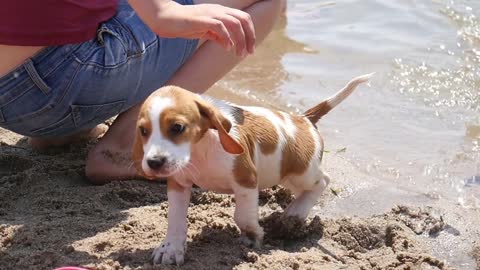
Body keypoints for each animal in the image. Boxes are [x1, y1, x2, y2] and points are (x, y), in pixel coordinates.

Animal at [133, 73, 374, 264]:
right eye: (143, 131)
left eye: (177, 127)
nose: (154, 163)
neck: (200, 152)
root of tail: (304, 119)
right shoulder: (178, 185)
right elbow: (175, 220)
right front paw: (171, 249)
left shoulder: (246, 181)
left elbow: (242, 216)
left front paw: (253, 236)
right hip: (288, 177)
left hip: (301, 173)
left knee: (323, 181)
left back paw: (295, 213)